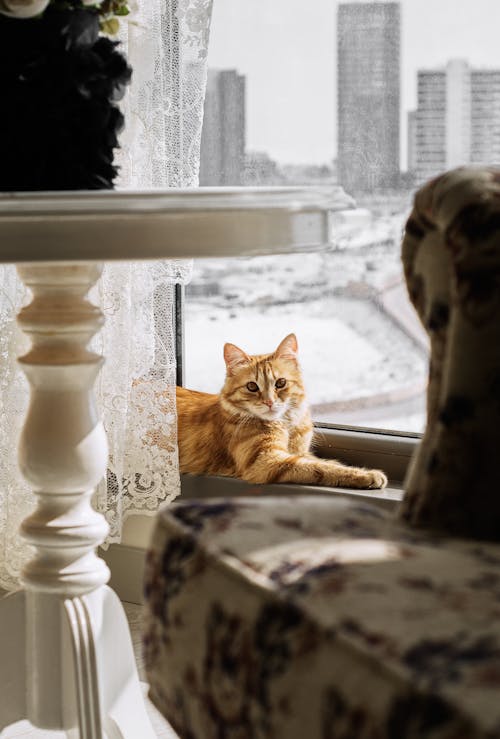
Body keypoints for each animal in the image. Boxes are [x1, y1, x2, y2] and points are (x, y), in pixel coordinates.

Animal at [176, 336, 386, 492]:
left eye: (280, 383)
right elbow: (322, 468)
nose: (269, 402)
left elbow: (329, 462)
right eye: (252, 387)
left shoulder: (300, 452)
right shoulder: (267, 461)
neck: (286, 424)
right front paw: (367, 475)